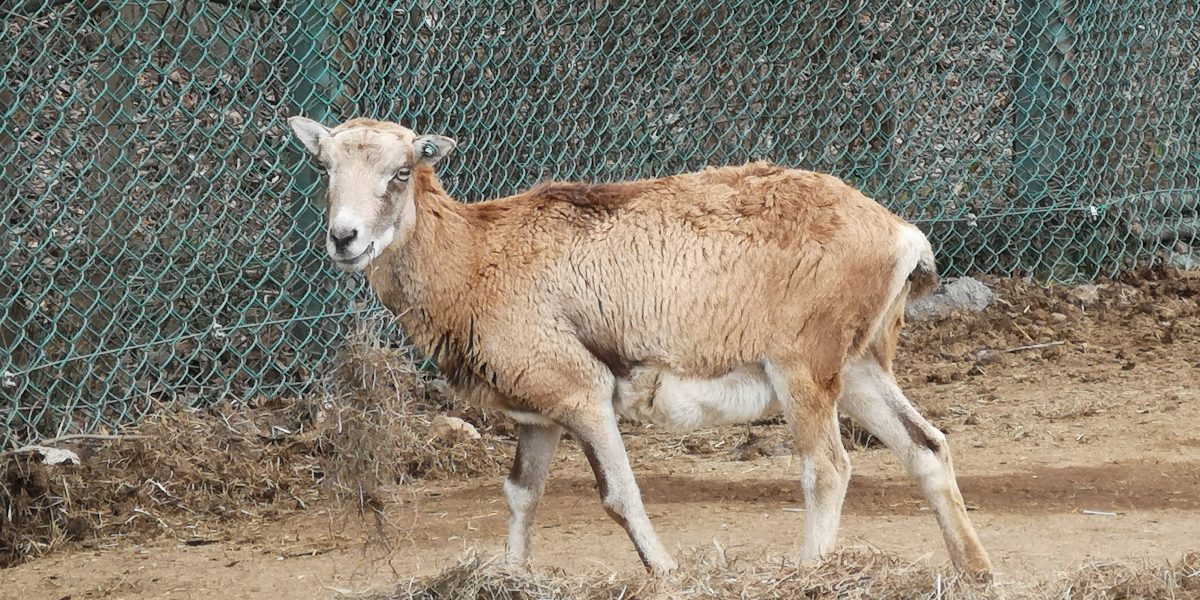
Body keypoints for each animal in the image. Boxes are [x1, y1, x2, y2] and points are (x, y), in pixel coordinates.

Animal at [283, 115, 993, 576]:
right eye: (326, 168)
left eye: (401, 171)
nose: (344, 238)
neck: (477, 258)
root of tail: (901, 235)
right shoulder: (537, 419)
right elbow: (520, 495)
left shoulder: (584, 399)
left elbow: (620, 497)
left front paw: (668, 572)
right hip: (861, 370)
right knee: (926, 448)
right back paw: (974, 571)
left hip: (805, 373)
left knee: (828, 469)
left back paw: (811, 572)